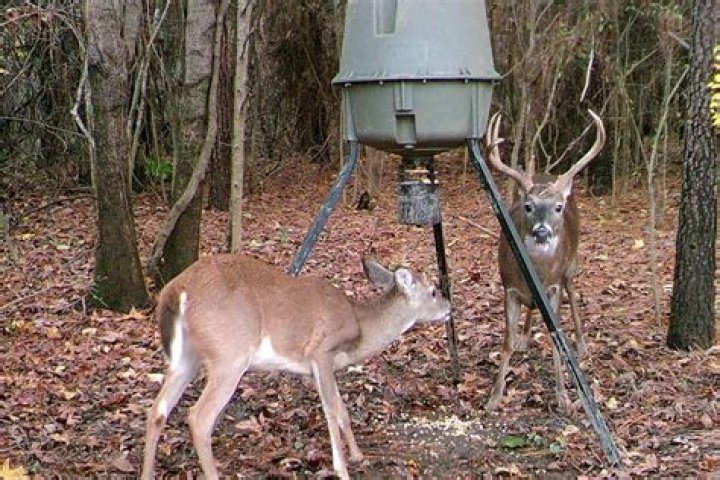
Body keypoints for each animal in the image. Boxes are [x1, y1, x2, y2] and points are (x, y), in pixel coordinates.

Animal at [141, 254, 450, 480]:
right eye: (433, 291)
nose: (450, 307)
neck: (359, 326)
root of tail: (177, 290)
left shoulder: (315, 369)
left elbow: (341, 410)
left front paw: (357, 455)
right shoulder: (321, 352)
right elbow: (331, 410)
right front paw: (342, 469)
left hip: (186, 359)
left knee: (157, 410)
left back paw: (147, 474)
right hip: (230, 354)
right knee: (199, 417)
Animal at [484, 109, 605, 413]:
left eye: (557, 207)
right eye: (528, 207)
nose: (541, 232)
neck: (538, 272)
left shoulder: (553, 286)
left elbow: (556, 337)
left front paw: (563, 396)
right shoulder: (509, 286)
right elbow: (506, 341)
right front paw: (494, 397)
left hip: (571, 266)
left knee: (573, 293)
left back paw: (582, 344)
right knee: (531, 310)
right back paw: (526, 336)